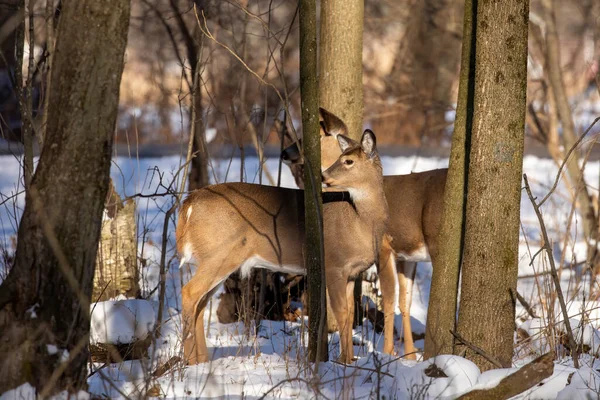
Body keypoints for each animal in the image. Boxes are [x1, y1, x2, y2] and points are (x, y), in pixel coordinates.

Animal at [175, 110, 390, 366]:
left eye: (349, 161)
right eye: (342, 158)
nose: (324, 176)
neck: (358, 221)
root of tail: (189, 203)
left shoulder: (351, 274)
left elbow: (348, 316)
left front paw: (350, 360)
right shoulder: (334, 266)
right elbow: (341, 313)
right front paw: (344, 363)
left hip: (216, 258)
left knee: (200, 304)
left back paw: (201, 361)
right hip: (218, 254)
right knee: (189, 293)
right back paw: (190, 362)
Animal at [278, 107, 448, 360]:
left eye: (315, 134)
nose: (285, 153)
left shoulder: (385, 246)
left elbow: (389, 299)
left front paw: (387, 352)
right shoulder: (407, 256)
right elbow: (404, 301)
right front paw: (409, 356)